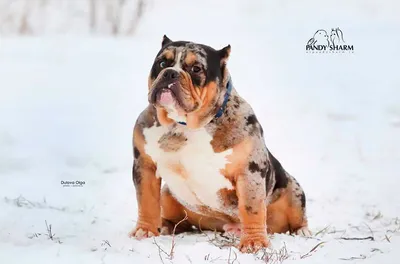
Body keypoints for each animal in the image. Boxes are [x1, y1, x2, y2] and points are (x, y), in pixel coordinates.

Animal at [128, 36, 310, 253]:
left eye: (196, 68)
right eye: (162, 63)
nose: (171, 73)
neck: (182, 125)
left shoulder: (249, 172)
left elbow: (252, 208)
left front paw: (254, 242)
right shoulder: (144, 165)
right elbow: (146, 200)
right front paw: (145, 230)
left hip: (294, 190)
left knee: (297, 216)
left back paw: (302, 232)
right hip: (168, 194)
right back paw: (165, 225)